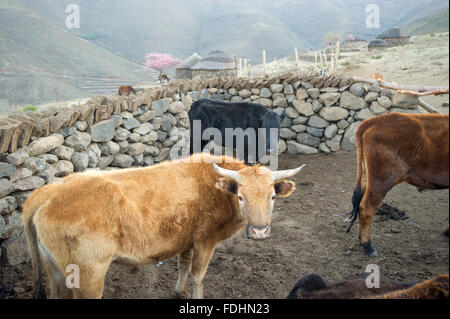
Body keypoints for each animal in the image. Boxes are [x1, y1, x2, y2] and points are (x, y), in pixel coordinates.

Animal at [23, 154, 306, 300]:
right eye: (241, 196)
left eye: (272, 196)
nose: (259, 231)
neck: (214, 186)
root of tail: (49, 191)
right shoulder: (206, 239)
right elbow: (198, 274)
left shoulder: (187, 238)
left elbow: (183, 266)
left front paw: (179, 291)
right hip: (88, 274)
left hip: (55, 271)